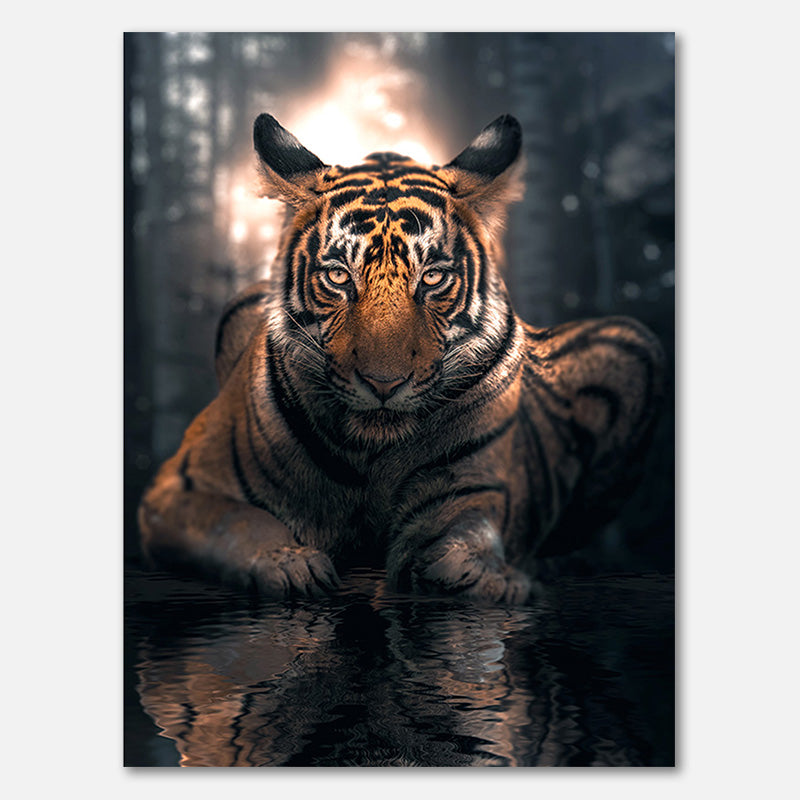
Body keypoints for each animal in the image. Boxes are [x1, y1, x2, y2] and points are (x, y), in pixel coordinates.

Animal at [138, 112, 665, 604]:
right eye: (338, 276)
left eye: (432, 278)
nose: (384, 383)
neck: (371, 451)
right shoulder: (177, 489)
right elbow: (236, 519)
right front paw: (288, 561)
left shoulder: (471, 489)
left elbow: (467, 531)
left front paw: (482, 574)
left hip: (635, 343)